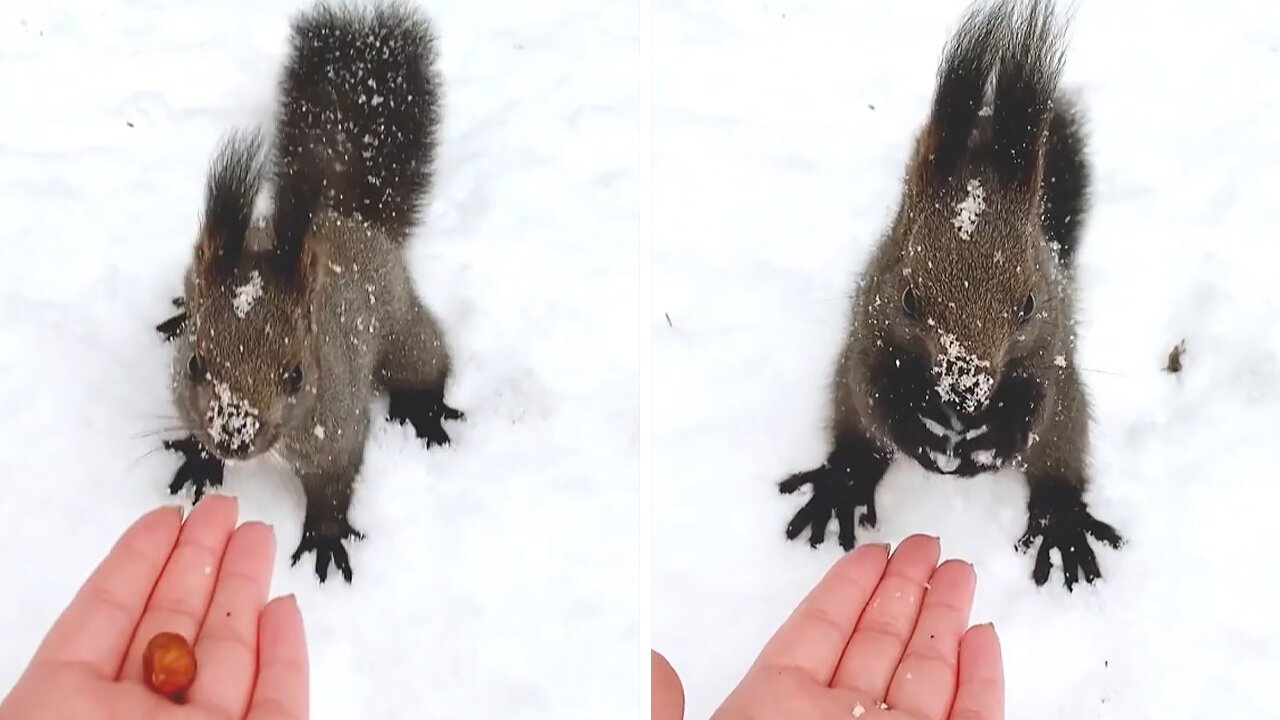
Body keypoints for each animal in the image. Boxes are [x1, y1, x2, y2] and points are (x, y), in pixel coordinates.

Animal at [155, 0, 463, 584]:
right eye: (195, 365)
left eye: (296, 375)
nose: (233, 437)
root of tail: (353, 220)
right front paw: (201, 459)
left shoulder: (337, 424)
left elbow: (335, 482)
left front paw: (324, 536)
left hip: (400, 326)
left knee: (428, 358)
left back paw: (423, 411)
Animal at [768, 1, 1121, 589]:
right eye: (910, 298)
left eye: (1028, 305)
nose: (965, 394)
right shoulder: (871, 323)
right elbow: (876, 389)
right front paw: (924, 438)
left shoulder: (1049, 347)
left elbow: (1034, 405)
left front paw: (990, 444)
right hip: (844, 396)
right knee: (859, 438)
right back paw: (843, 484)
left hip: (1072, 414)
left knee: (1056, 464)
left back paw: (1062, 522)